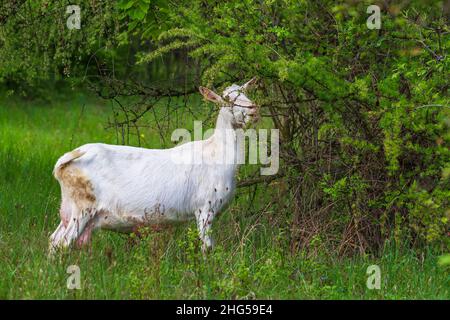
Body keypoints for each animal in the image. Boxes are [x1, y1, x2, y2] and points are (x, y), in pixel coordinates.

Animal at [49, 77, 258, 252]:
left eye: (246, 92)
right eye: (227, 99)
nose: (254, 109)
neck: (217, 153)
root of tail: (70, 157)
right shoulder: (205, 207)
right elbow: (207, 247)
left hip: (69, 210)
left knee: (53, 240)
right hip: (82, 207)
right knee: (63, 243)